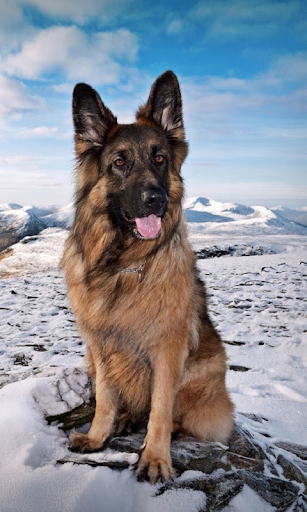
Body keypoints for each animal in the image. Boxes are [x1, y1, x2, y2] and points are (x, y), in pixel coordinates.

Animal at [62, 71, 233, 484]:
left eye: (160, 159)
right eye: (119, 162)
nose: (156, 199)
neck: (123, 263)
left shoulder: (167, 349)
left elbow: (161, 408)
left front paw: (155, 457)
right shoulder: (100, 345)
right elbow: (106, 397)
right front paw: (98, 436)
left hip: (203, 374)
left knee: (182, 417)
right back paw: (126, 419)